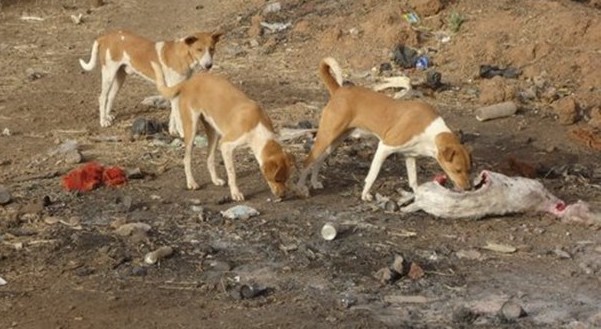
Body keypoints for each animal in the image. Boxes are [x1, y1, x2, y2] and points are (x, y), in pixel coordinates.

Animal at [78, 29, 221, 135]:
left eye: (212, 49)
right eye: (199, 49)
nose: (209, 65)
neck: (182, 55)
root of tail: (105, 37)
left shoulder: (174, 91)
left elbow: (173, 115)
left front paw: (172, 130)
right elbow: (177, 115)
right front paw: (181, 133)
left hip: (119, 77)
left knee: (111, 97)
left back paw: (108, 116)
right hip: (108, 74)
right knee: (102, 97)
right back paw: (103, 121)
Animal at [148, 61, 292, 200]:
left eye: (286, 178)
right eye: (277, 179)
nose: (283, 195)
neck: (257, 126)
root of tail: (190, 81)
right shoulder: (226, 145)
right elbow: (232, 173)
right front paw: (235, 193)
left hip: (213, 133)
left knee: (209, 158)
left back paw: (215, 180)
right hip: (191, 130)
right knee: (186, 159)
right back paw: (191, 183)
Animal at [298, 56, 472, 200]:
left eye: (469, 169)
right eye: (457, 170)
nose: (469, 188)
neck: (431, 132)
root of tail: (339, 90)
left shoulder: (410, 156)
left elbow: (413, 181)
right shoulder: (385, 147)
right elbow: (372, 176)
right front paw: (365, 195)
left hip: (335, 140)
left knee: (319, 160)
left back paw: (314, 182)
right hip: (327, 135)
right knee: (307, 161)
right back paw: (302, 188)